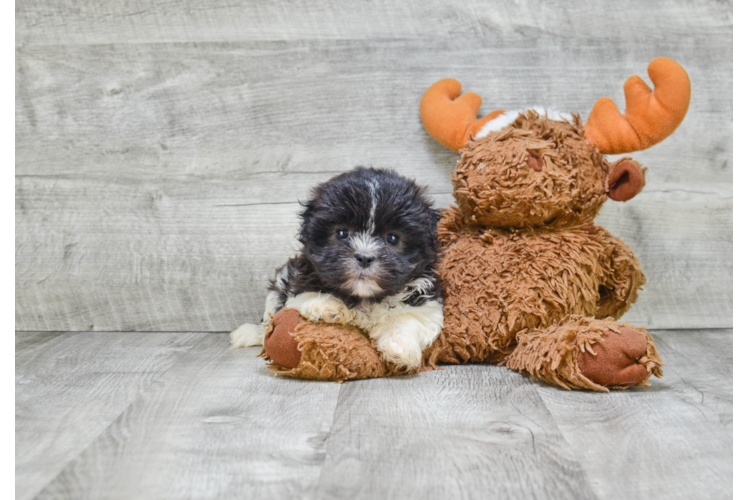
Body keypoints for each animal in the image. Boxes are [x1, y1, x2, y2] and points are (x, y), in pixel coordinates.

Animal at [232, 167, 444, 372]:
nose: (364, 257)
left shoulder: (426, 301)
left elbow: (411, 318)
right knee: (267, 323)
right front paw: (326, 304)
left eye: (392, 238)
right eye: (342, 233)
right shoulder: (298, 282)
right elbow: (306, 295)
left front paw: (399, 346)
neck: (365, 298)